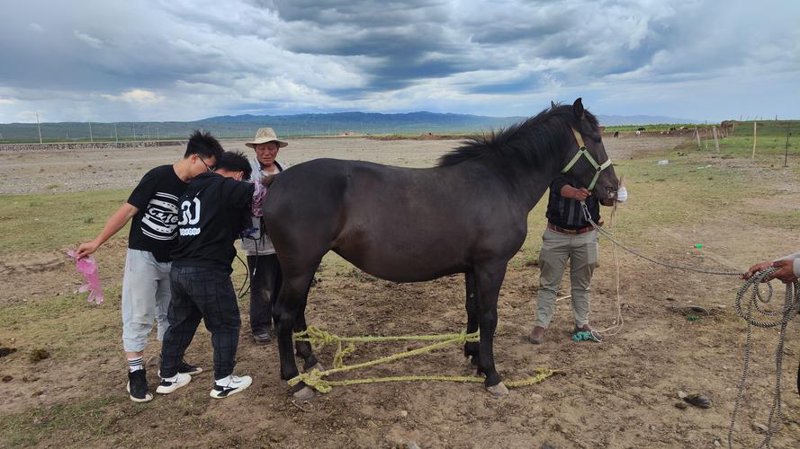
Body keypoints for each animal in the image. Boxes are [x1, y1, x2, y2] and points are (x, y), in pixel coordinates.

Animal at [262, 98, 619, 397]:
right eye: (596, 138)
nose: (612, 189)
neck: (501, 182)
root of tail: (276, 183)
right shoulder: (492, 265)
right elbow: (489, 316)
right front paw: (493, 375)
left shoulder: (474, 267)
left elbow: (473, 309)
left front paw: (475, 357)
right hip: (300, 266)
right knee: (284, 315)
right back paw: (295, 380)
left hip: (304, 267)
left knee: (298, 311)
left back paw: (311, 361)